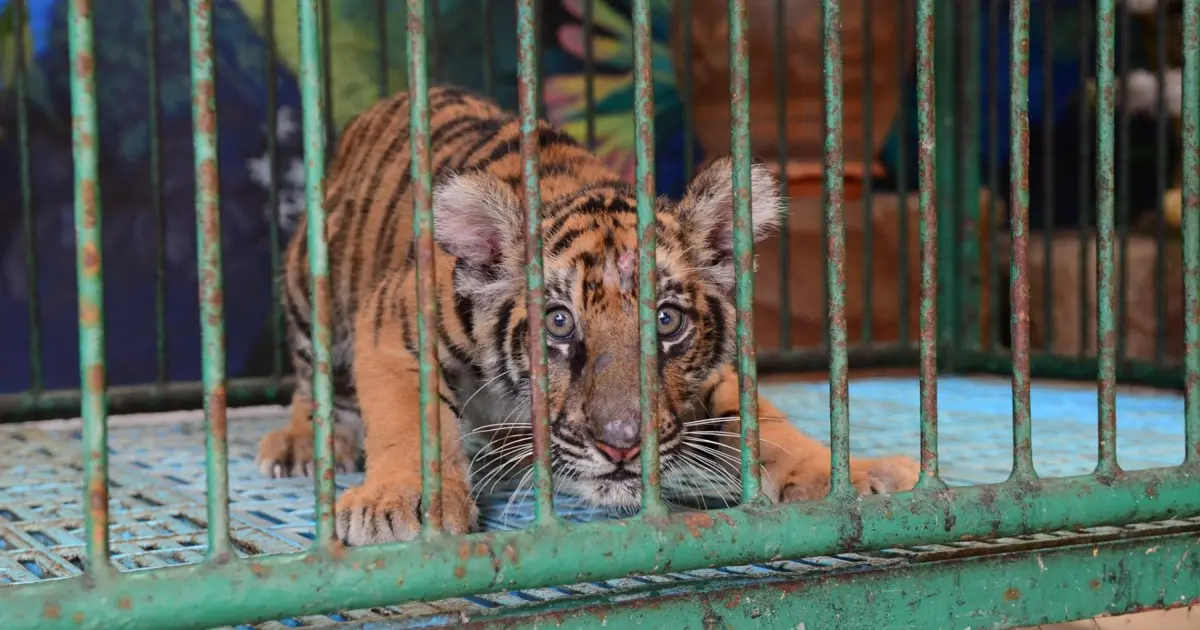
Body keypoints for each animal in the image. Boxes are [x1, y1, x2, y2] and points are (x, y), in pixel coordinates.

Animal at [255, 85, 921, 546]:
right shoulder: (395, 323)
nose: (622, 447)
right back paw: (299, 442)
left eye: (666, 321)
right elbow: (409, 419)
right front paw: (400, 502)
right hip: (308, 289)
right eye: (558, 322)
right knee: (312, 379)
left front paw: (857, 475)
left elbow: (769, 424)